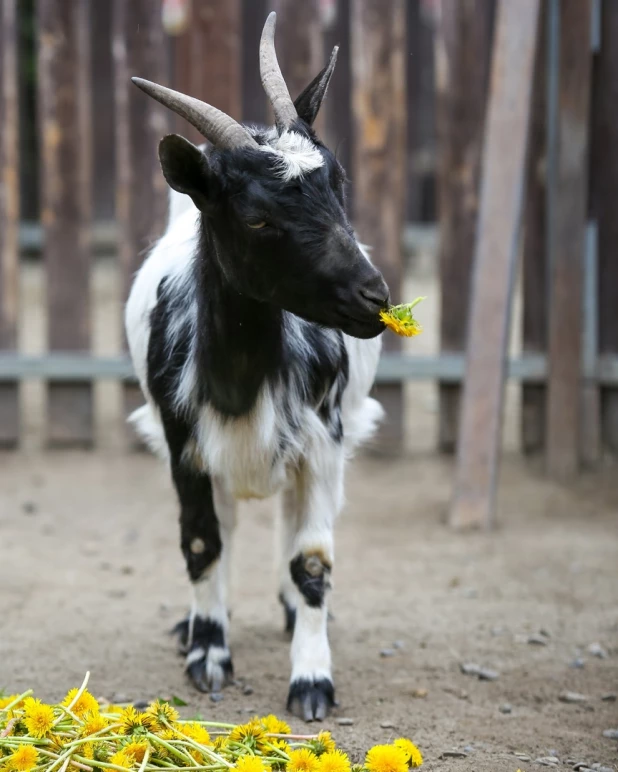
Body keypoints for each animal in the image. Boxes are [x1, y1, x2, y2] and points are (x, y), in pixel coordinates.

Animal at [122, 13, 388, 724]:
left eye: (338, 184)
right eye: (257, 217)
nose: (374, 297)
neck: (241, 381)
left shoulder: (322, 440)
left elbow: (313, 560)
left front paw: (312, 681)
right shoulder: (184, 443)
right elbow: (201, 542)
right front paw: (208, 653)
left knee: (293, 525)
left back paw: (294, 615)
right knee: (231, 524)